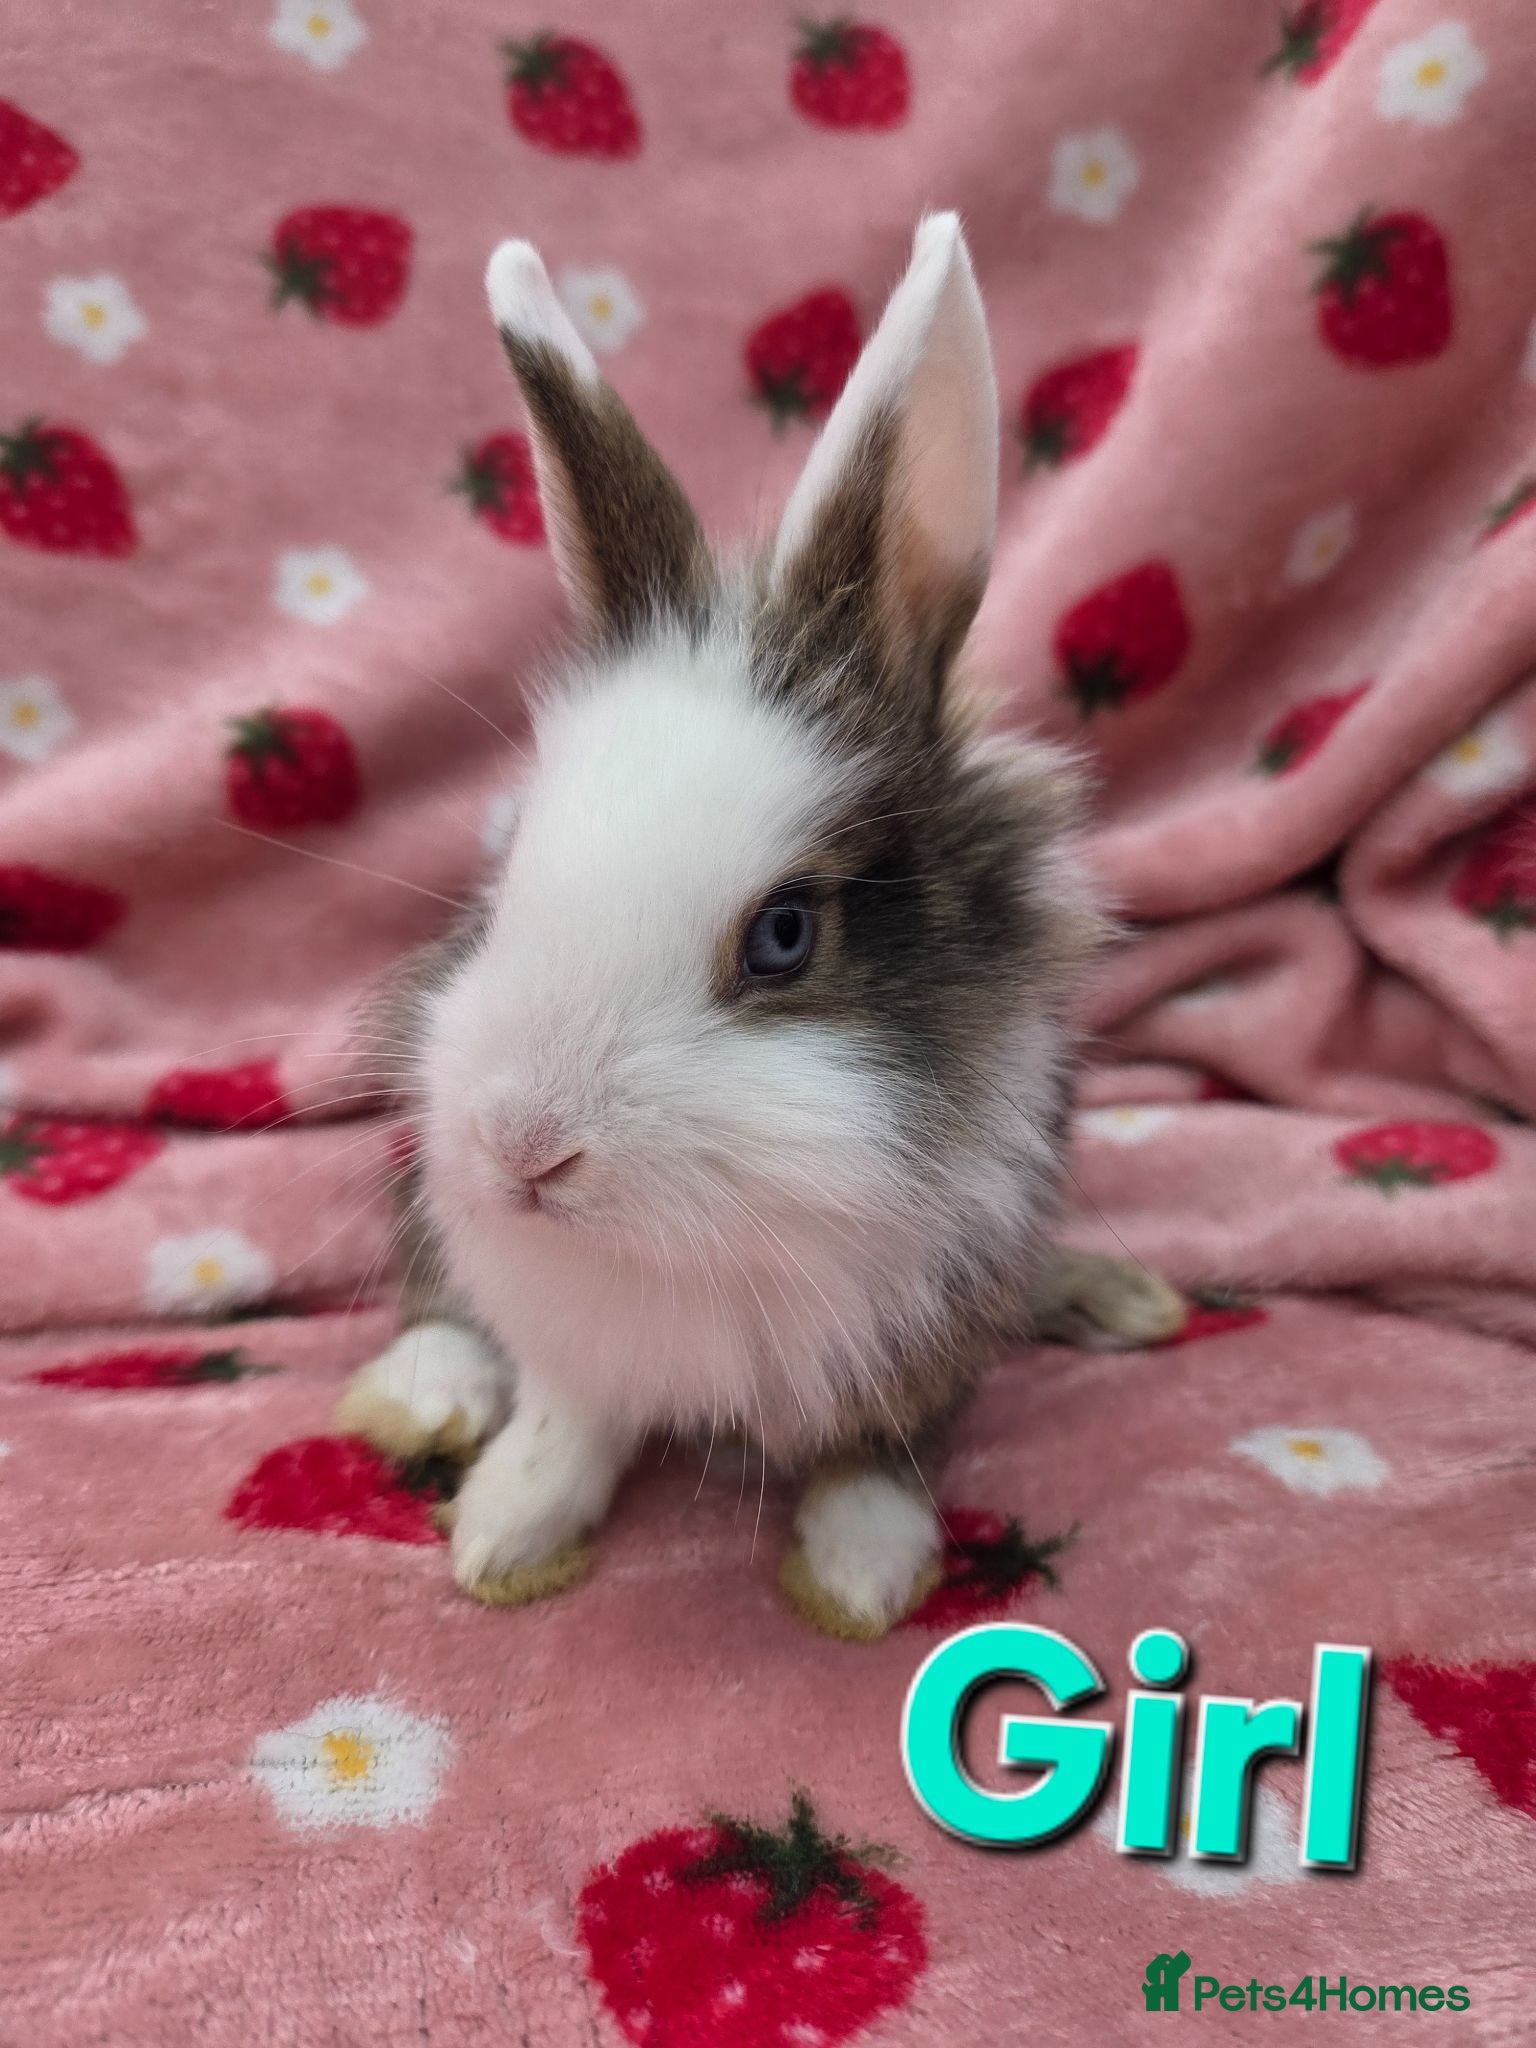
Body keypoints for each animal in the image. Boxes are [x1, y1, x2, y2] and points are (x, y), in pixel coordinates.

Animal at [333, 214, 1185, 1639]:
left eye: (784, 935)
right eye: (503, 881)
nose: (524, 1151)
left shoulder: (941, 1306)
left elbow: (884, 1441)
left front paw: (860, 1566)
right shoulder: (561, 1318)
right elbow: (570, 1413)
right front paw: (508, 1526)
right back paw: (424, 1398)